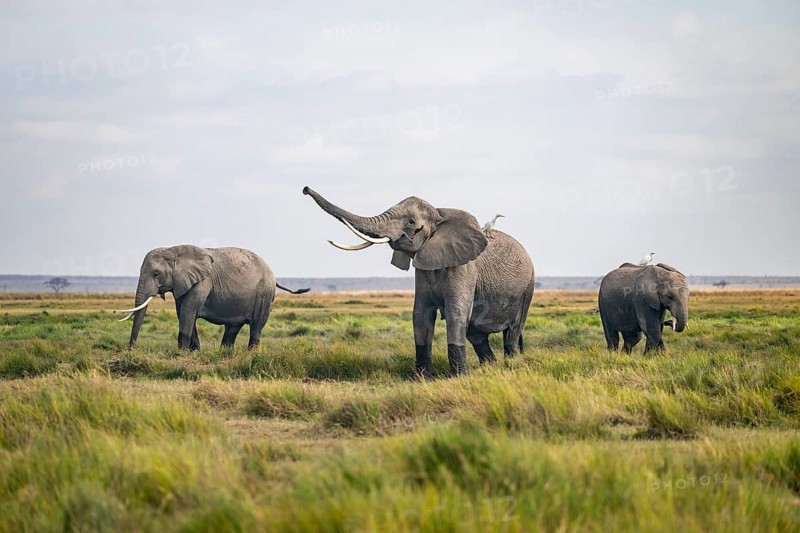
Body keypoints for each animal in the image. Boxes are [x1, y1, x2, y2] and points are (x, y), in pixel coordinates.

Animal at [116, 245, 309, 350]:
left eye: (156, 274)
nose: (131, 349)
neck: (173, 250)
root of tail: (273, 275)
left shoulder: (203, 281)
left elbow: (188, 311)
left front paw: (182, 352)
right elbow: (183, 312)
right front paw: (194, 352)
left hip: (264, 294)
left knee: (256, 326)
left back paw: (250, 353)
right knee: (232, 328)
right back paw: (224, 354)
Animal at [303, 186, 535, 377]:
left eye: (411, 222)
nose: (305, 189)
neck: (440, 216)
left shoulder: (464, 268)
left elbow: (456, 313)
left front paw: (458, 378)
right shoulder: (423, 269)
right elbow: (421, 314)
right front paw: (422, 379)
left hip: (527, 288)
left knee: (512, 332)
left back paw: (510, 365)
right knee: (476, 335)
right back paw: (490, 368)